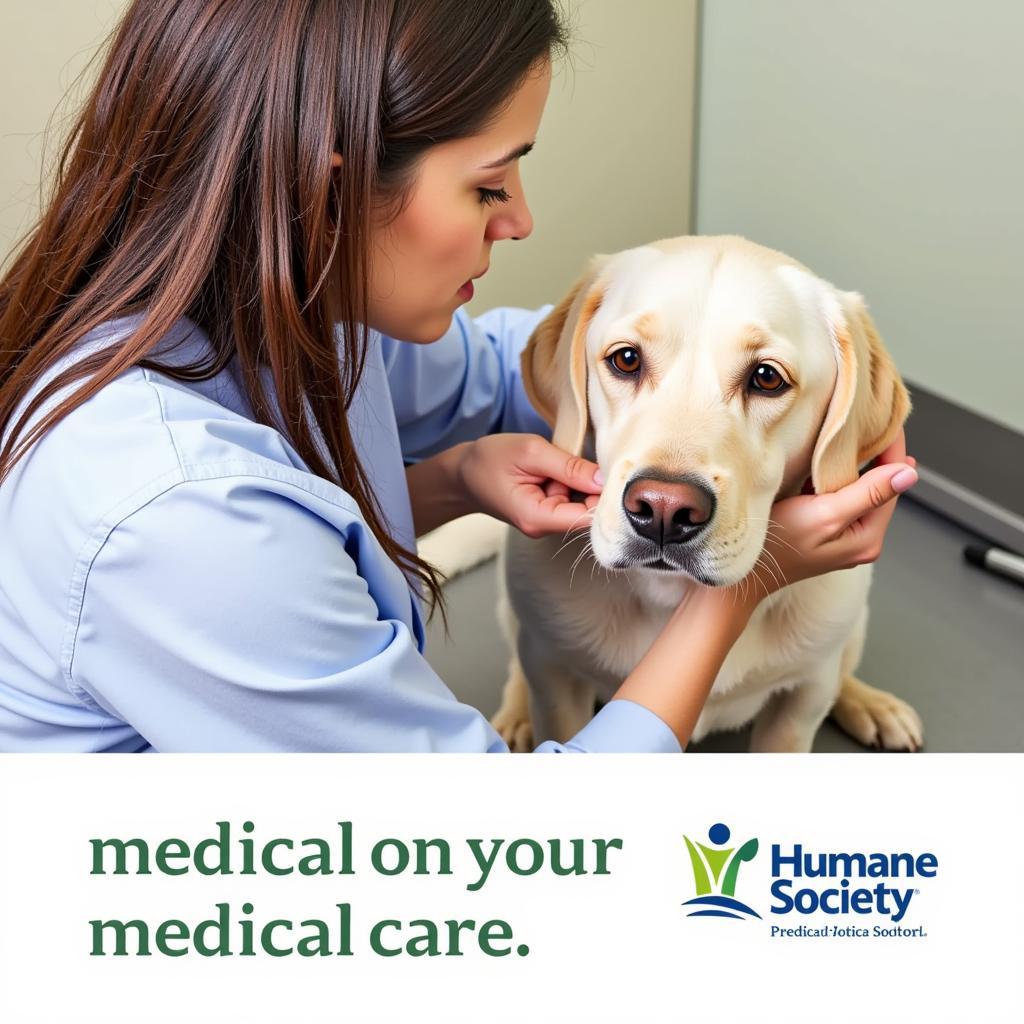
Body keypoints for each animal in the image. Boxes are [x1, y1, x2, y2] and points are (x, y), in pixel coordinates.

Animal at [491, 237, 925, 753]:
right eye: (626, 359)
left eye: (767, 377)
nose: (662, 509)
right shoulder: (556, 680)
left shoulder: (801, 702)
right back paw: (515, 715)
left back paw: (871, 703)